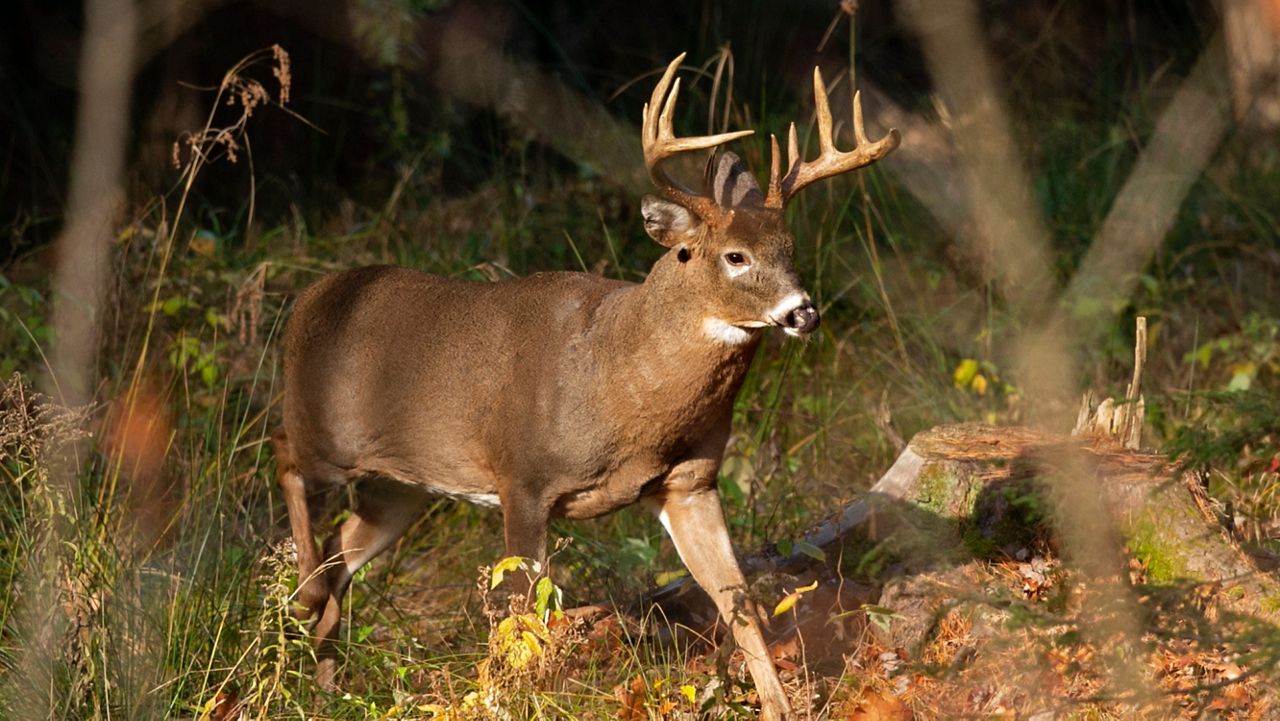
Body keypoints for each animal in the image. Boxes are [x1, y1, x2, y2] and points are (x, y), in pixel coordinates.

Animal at [277, 53, 901, 717]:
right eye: (734, 256)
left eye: (790, 249)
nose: (803, 313)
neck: (619, 386)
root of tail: (307, 300)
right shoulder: (522, 477)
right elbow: (523, 617)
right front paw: (515, 698)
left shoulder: (690, 483)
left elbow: (738, 600)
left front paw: (780, 705)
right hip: (325, 432)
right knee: (284, 457)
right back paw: (306, 601)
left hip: (403, 483)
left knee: (345, 543)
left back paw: (325, 679)